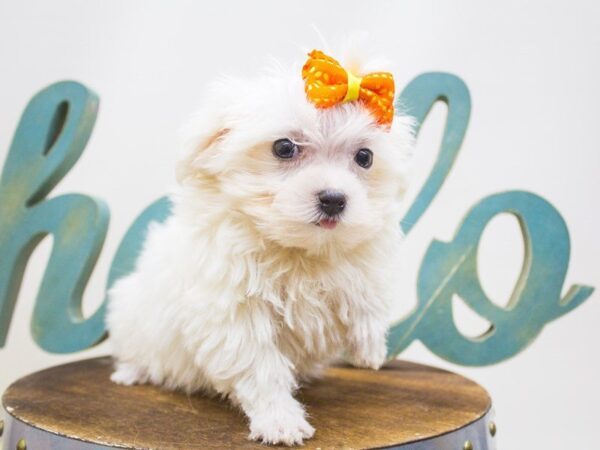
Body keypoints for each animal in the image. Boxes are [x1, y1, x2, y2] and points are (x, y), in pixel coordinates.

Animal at [106, 46, 412, 446]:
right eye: (284, 148)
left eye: (365, 157)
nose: (334, 199)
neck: (298, 250)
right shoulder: (233, 312)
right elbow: (261, 368)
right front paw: (281, 421)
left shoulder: (360, 256)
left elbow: (365, 291)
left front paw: (370, 345)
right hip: (130, 313)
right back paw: (132, 372)